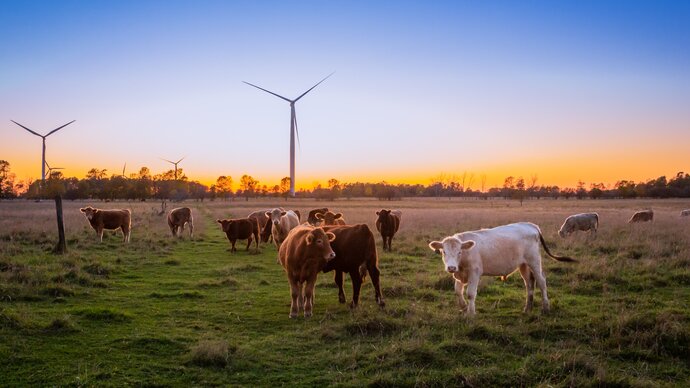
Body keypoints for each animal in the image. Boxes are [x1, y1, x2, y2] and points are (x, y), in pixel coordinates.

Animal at [428, 223, 572, 316]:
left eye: (459, 252)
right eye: (444, 252)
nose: (451, 267)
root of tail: (530, 225)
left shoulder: (474, 273)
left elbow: (470, 293)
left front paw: (470, 313)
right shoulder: (460, 274)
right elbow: (458, 291)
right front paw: (463, 307)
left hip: (534, 261)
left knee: (542, 282)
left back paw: (546, 307)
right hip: (523, 265)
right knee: (529, 283)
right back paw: (527, 308)